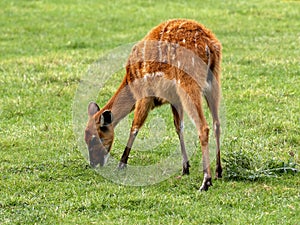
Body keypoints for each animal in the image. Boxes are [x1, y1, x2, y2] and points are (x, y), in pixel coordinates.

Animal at [84, 19, 223, 191]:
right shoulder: (174, 99)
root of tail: (209, 46)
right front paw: (185, 168)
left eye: (95, 139)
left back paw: (205, 181)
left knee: (203, 127)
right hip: (214, 81)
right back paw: (218, 171)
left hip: (189, 84)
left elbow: (134, 127)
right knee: (217, 123)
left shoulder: (144, 96)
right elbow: (179, 127)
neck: (130, 82)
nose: (94, 163)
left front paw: (121, 165)